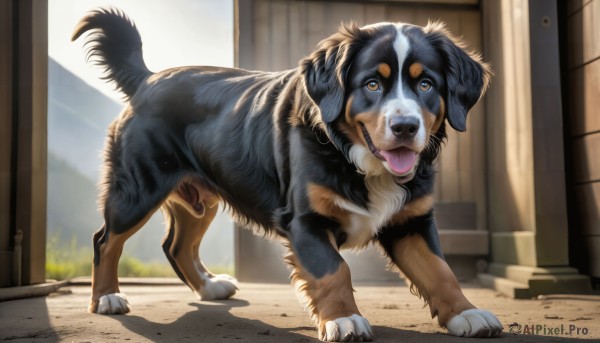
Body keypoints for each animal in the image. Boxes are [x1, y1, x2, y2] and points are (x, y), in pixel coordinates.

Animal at [71, 7, 502, 342]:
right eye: (372, 84)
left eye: (426, 84)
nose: (405, 127)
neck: (355, 159)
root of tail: (148, 79)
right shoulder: (306, 221)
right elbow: (334, 270)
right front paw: (344, 318)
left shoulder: (411, 222)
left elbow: (440, 271)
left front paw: (466, 313)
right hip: (137, 189)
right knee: (105, 240)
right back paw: (107, 298)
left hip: (201, 199)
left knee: (176, 246)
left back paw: (210, 286)